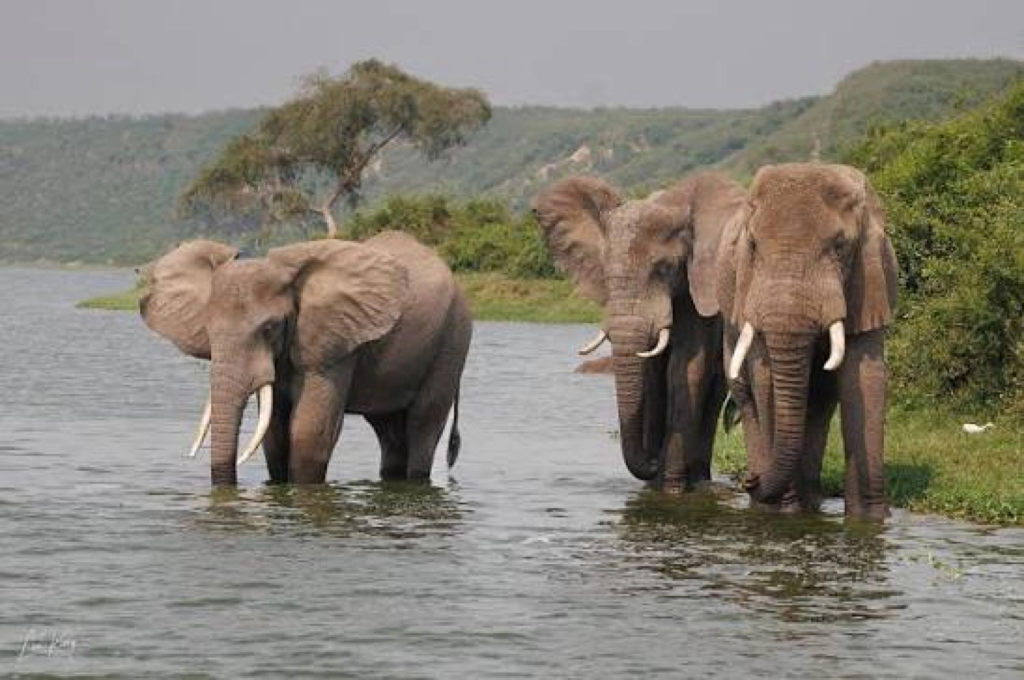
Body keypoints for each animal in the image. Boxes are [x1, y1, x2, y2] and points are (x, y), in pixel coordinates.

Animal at [139, 230, 472, 486]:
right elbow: (274, 434)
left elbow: (308, 433)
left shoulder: (333, 340)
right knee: (389, 431)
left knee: (423, 424)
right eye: (207, 330)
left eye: (270, 327)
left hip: (453, 338)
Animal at [532, 173, 747, 489]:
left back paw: (699, 481)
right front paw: (653, 485)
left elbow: (685, 369)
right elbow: (653, 376)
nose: (653, 459)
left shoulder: (699, 292)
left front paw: (671, 488)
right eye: (605, 271)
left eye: (665, 268)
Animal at [716, 163, 898, 519]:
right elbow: (765, 380)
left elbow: (865, 379)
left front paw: (870, 521)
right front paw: (784, 512)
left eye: (840, 246)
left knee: (819, 402)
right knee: (747, 397)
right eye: (753, 245)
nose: (749, 480)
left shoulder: (870, 283)